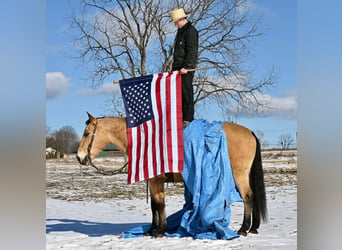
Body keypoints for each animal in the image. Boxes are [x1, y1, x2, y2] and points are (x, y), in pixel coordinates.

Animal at [77, 112, 268, 237]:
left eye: (87, 133)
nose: (79, 157)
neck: (146, 141)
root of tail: (249, 132)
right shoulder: (152, 181)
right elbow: (154, 205)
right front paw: (151, 230)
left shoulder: (156, 180)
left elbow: (159, 204)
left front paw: (160, 231)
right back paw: (253, 227)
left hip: (239, 175)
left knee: (248, 197)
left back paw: (243, 229)